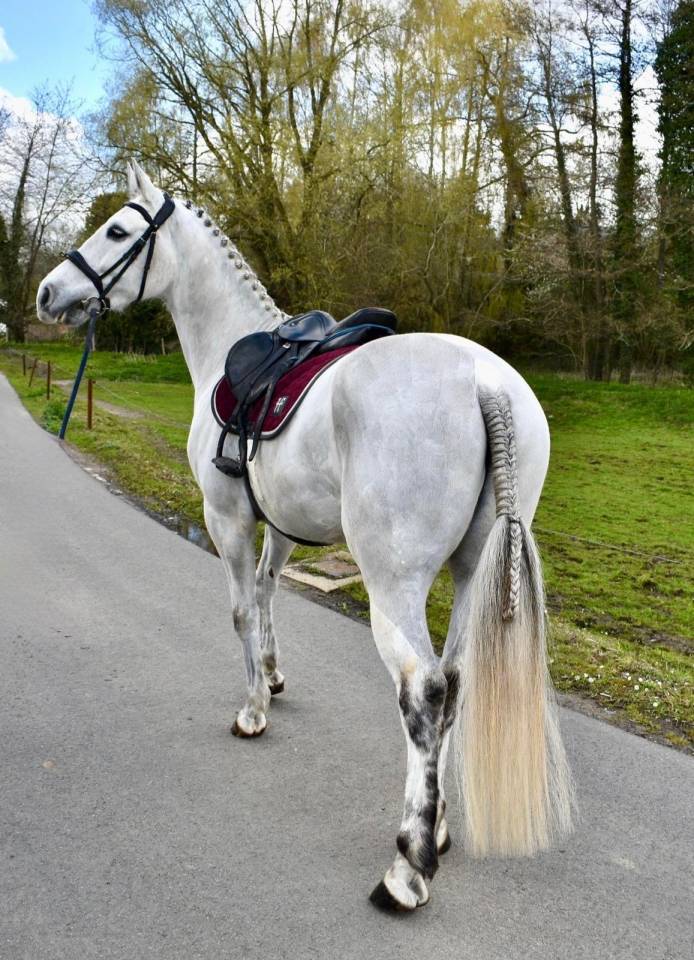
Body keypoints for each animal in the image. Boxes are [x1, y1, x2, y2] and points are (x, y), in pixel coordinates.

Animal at [36, 160, 574, 911]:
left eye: (116, 230)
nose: (48, 292)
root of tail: (486, 381)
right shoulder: (281, 526)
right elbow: (267, 594)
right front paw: (272, 674)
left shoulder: (227, 519)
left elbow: (239, 609)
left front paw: (253, 709)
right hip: (471, 572)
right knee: (456, 681)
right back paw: (438, 829)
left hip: (394, 584)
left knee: (424, 690)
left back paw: (409, 865)